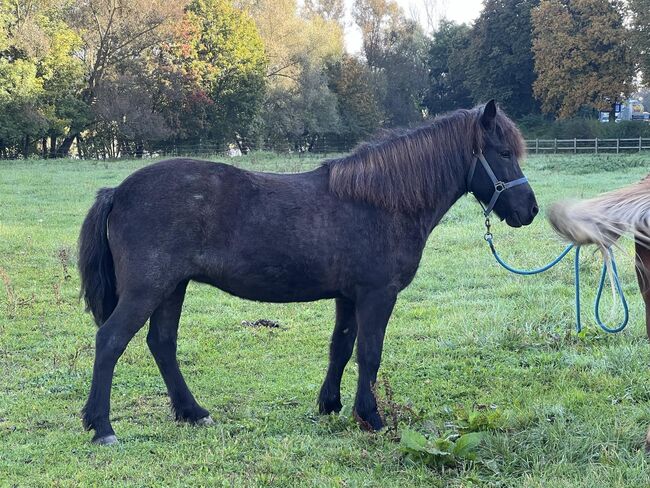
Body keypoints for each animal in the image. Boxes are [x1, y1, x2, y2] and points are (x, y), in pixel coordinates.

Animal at [77, 101, 536, 444]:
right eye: (504, 153)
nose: (529, 210)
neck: (381, 202)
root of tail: (118, 191)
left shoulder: (348, 296)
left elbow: (341, 348)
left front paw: (330, 405)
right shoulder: (377, 294)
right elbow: (369, 353)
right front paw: (370, 417)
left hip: (172, 288)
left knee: (162, 344)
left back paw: (193, 412)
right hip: (147, 289)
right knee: (110, 341)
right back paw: (102, 427)